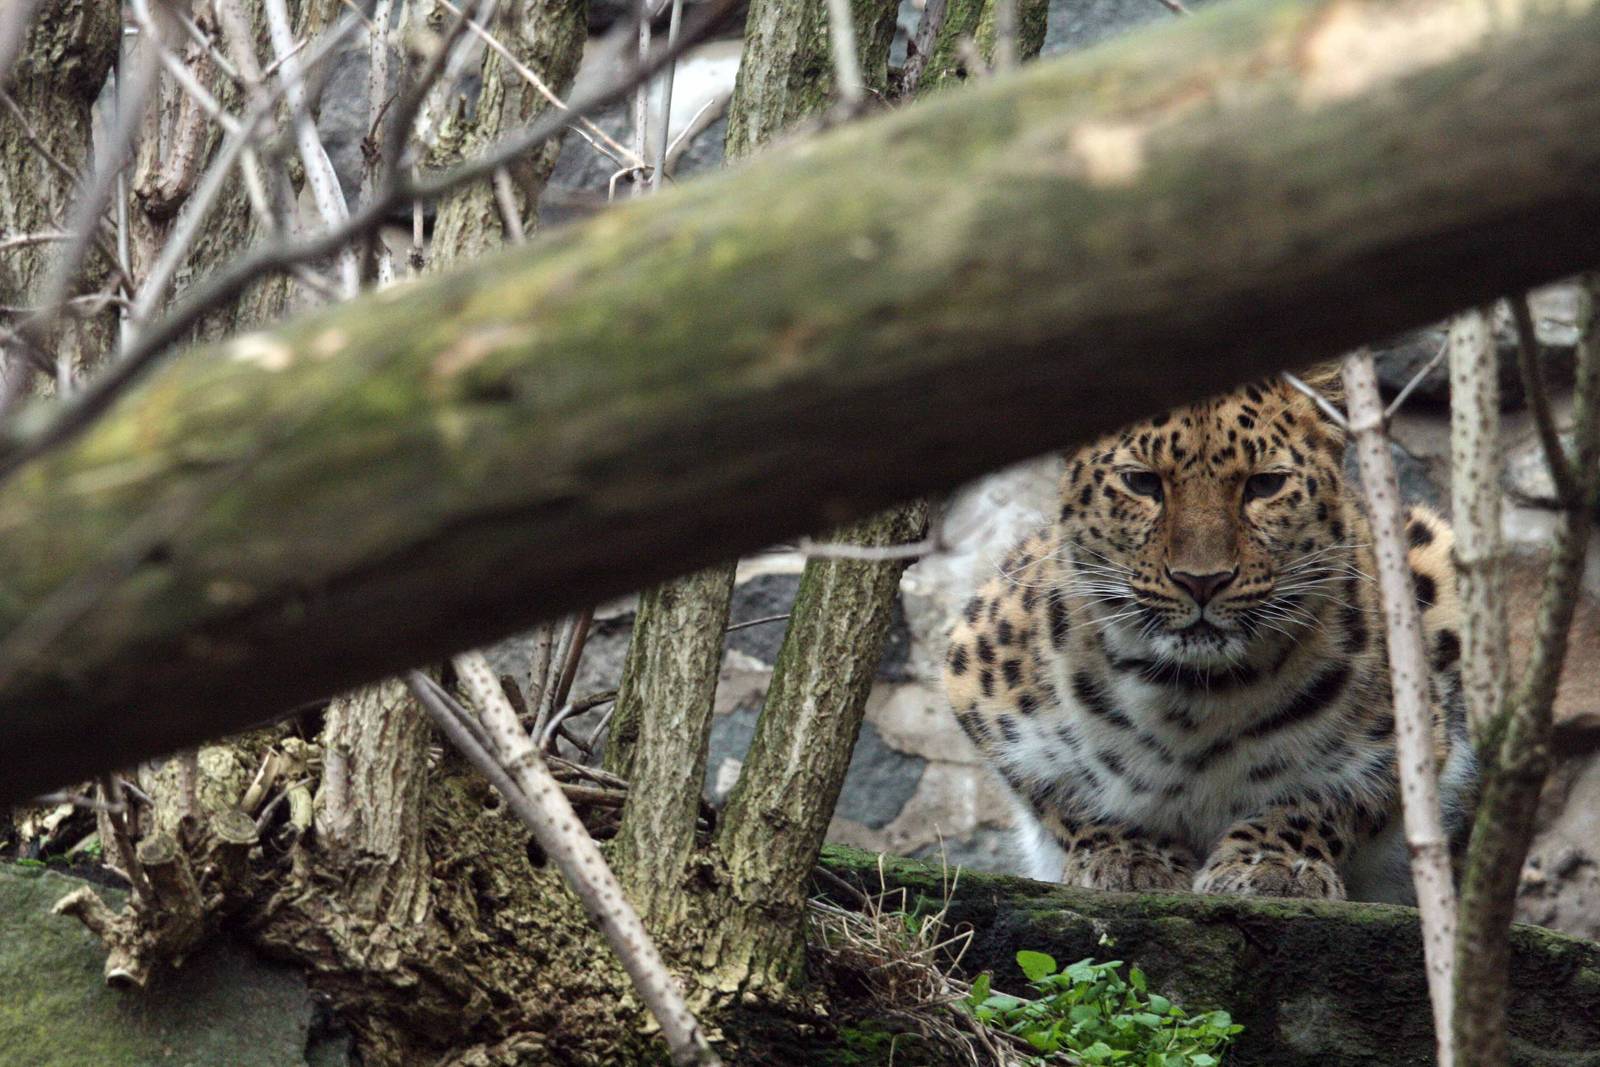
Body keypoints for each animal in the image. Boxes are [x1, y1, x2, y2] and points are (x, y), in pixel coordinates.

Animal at [944, 370, 1476, 903]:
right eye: (1142, 482)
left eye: (1265, 484)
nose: (1202, 580)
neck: (1193, 702)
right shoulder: (970, 674)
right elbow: (1065, 796)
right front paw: (1134, 855)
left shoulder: (1416, 731)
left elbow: (1321, 804)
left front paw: (1272, 863)